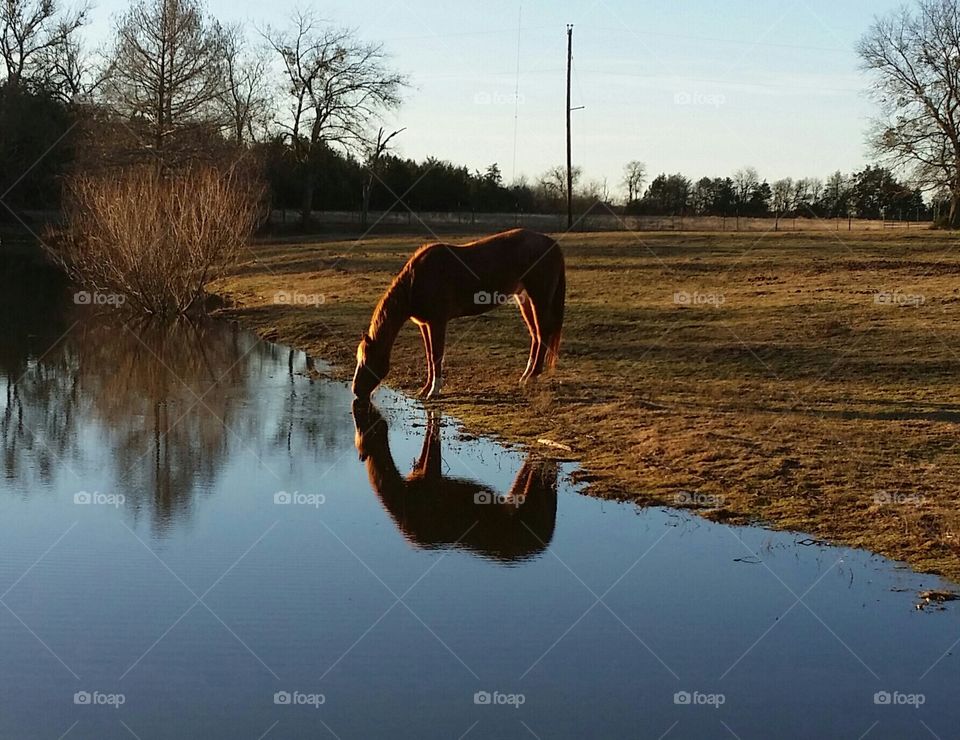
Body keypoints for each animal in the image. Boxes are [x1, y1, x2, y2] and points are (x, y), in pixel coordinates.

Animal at [350, 228, 564, 398]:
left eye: (366, 361)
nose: (356, 391)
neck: (416, 281)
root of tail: (551, 243)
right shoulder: (425, 325)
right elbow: (430, 356)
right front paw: (425, 389)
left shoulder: (437, 323)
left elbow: (436, 355)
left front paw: (433, 391)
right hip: (525, 300)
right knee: (536, 335)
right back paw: (526, 375)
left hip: (538, 299)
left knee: (543, 333)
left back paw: (532, 377)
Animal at [350, 402, 560, 564]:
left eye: (363, 424)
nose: (356, 407)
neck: (403, 497)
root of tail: (547, 539)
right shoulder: (423, 473)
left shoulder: (430, 480)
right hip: (517, 497)